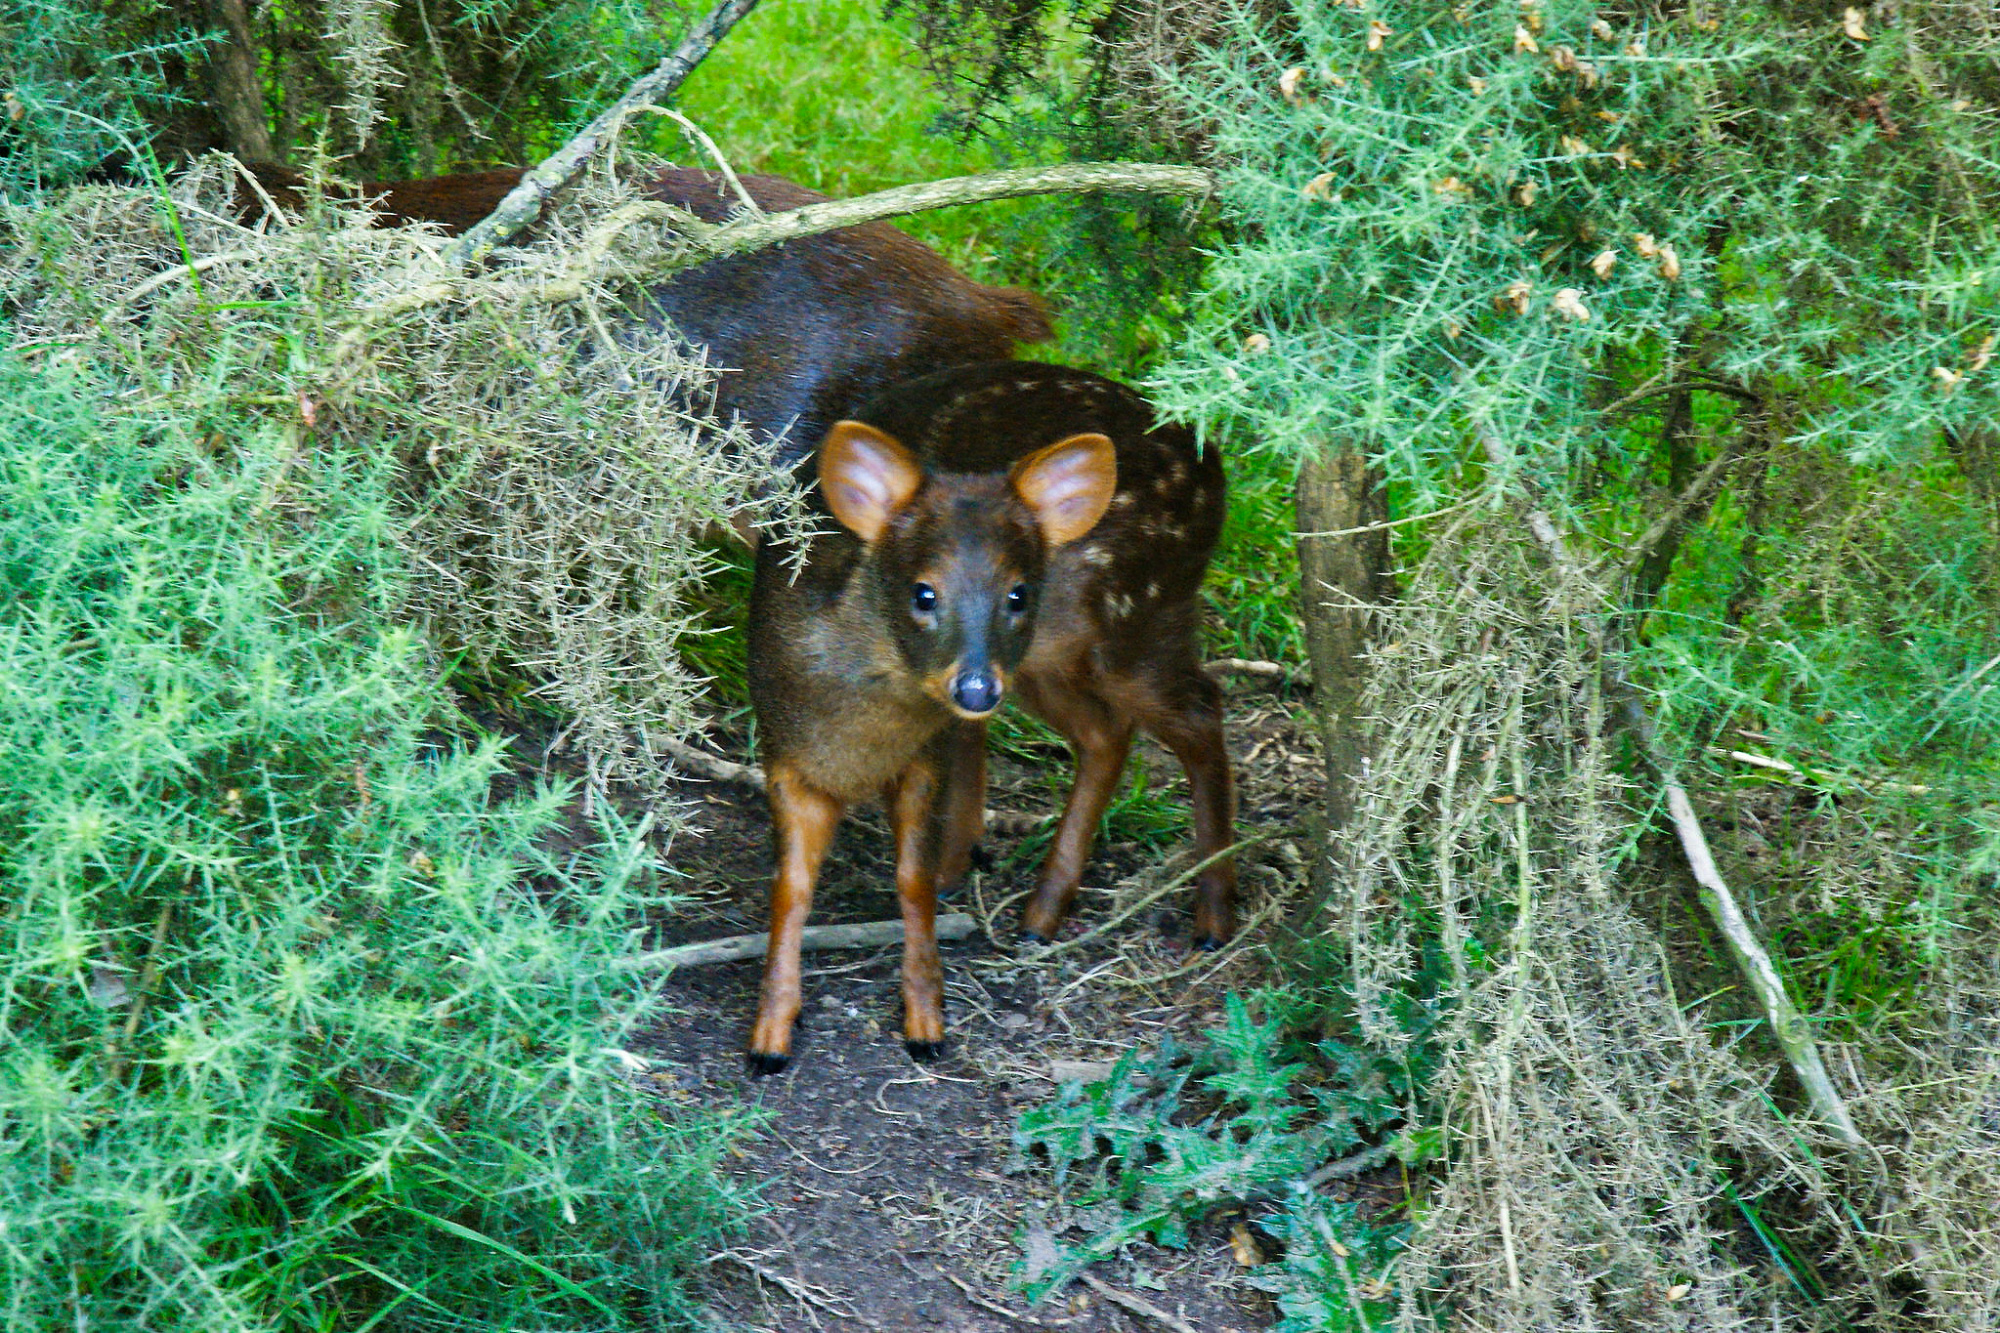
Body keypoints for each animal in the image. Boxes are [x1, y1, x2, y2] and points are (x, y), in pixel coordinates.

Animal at [745, 360, 1235, 1074]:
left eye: (1018, 593)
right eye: (923, 593)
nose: (974, 689)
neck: (856, 742)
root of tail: (1213, 459)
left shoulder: (922, 757)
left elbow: (911, 880)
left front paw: (926, 1022)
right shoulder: (784, 754)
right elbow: (790, 890)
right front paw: (771, 1036)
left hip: (1131, 620)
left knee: (1199, 709)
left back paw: (1213, 917)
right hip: (1047, 662)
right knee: (1106, 732)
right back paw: (1040, 911)